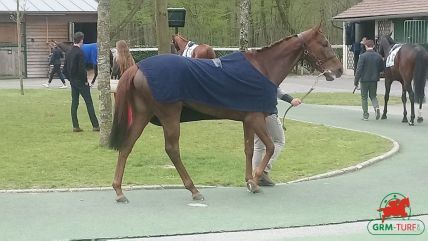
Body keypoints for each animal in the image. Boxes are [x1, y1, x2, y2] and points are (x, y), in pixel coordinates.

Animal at [108, 24, 342, 202]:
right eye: (324, 43)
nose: (339, 70)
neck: (262, 68)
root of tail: (138, 68)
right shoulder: (256, 118)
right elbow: (269, 147)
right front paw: (256, 178)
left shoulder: (248, 120)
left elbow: (249, 150)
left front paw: (250, 180)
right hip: (169, 116)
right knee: (172, 150)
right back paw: (193, 189)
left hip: (142, 115)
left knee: (127, 146)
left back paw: (119, 190)